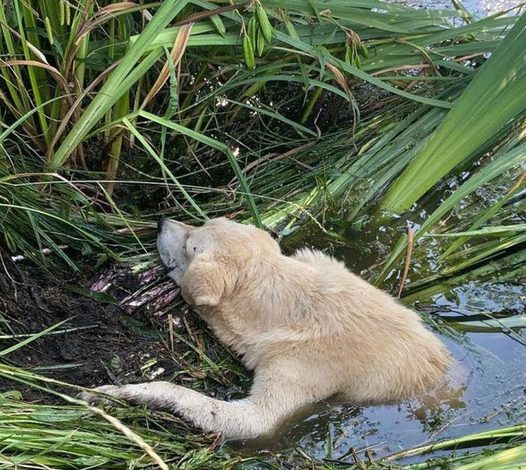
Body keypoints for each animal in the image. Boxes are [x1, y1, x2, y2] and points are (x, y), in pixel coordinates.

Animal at [80, 217, 452, 440]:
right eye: (203, 220)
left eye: (189, 245)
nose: (160, 221)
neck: (290, 303)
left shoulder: (294, 370)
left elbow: (206, 403)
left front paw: (115, 392)